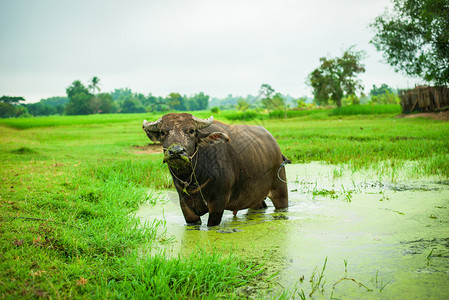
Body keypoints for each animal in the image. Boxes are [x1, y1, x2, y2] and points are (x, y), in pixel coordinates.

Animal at [144, 113, 290, 226]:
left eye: (191, 131)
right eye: (163, 132)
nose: (176, 151)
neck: (193, 179)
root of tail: (276, 147)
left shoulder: (218, 204)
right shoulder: (185, 206)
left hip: (281, 190)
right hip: (254, 197)